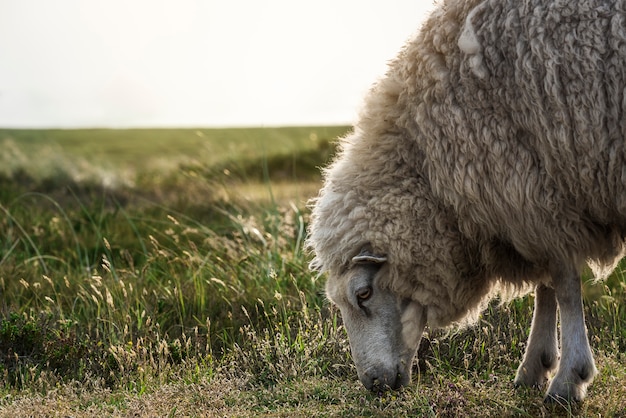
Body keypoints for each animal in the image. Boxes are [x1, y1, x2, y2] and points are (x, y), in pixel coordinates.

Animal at [306, 0, 624, 404]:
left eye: (363, 293)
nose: (373, 383)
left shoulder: (535, 186)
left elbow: (564, 284)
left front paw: (569, 378)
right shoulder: (532, 194)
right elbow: (547, 284)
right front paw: (535, 366)